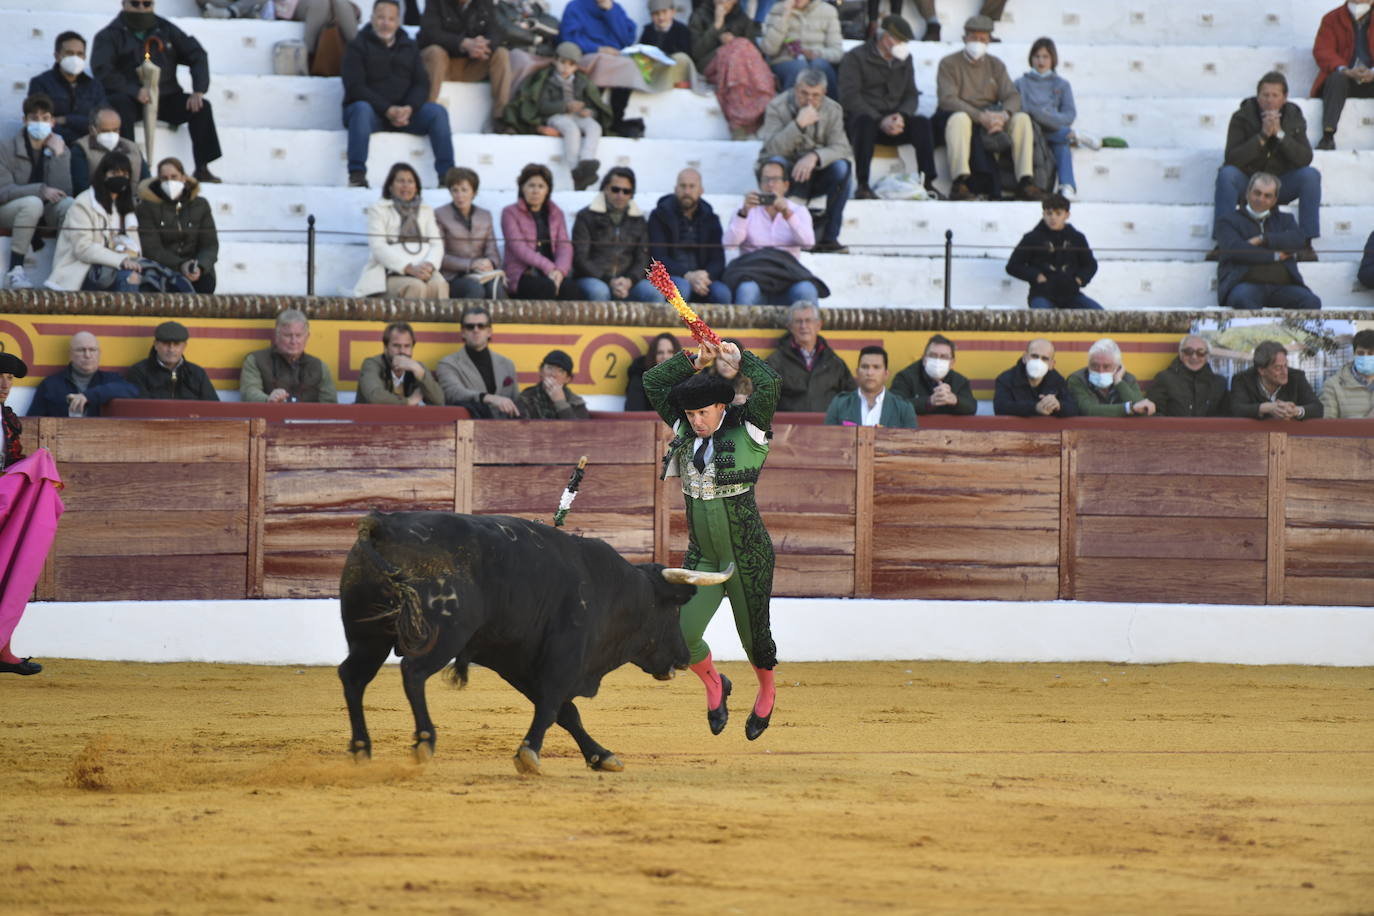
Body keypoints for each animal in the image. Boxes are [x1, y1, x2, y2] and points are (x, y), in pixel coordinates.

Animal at [335, 513, 730, 780]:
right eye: (674, 609)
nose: (683, 657)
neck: (613, 589)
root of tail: (383, 525)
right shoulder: (564, 656)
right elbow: (553, 704)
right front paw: (528, 753)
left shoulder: (519, 662)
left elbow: (566, 712)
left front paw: (601, 756)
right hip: (442, 635)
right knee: (412, 673)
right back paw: (423, 741)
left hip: (367, 637)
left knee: (353, 677)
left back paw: (361, 749)